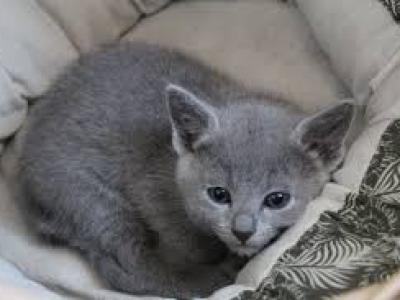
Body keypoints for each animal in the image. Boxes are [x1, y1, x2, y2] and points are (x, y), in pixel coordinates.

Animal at [14, 42, 354, 298]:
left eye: (277, 199)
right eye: (219, 195)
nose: (242, 230)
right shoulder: (150, 188)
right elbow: (185, 243)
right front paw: (213, 263)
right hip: (88, 198)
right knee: (130, 263)